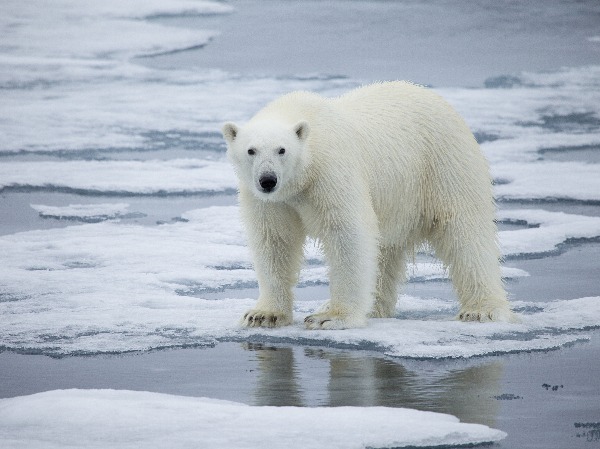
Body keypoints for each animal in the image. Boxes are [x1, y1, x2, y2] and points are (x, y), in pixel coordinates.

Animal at [223, 82, 512, 328]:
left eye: (282, 150)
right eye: (251, 150)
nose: (267, 180)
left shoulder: (331, 172)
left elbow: (347, 234)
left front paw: (331, 317)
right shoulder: (269, 200)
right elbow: (274, 241)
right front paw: (263, 314)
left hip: (444, 165)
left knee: (465, 232)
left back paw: (481, 310)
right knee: (384, 252)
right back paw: (374, 307)